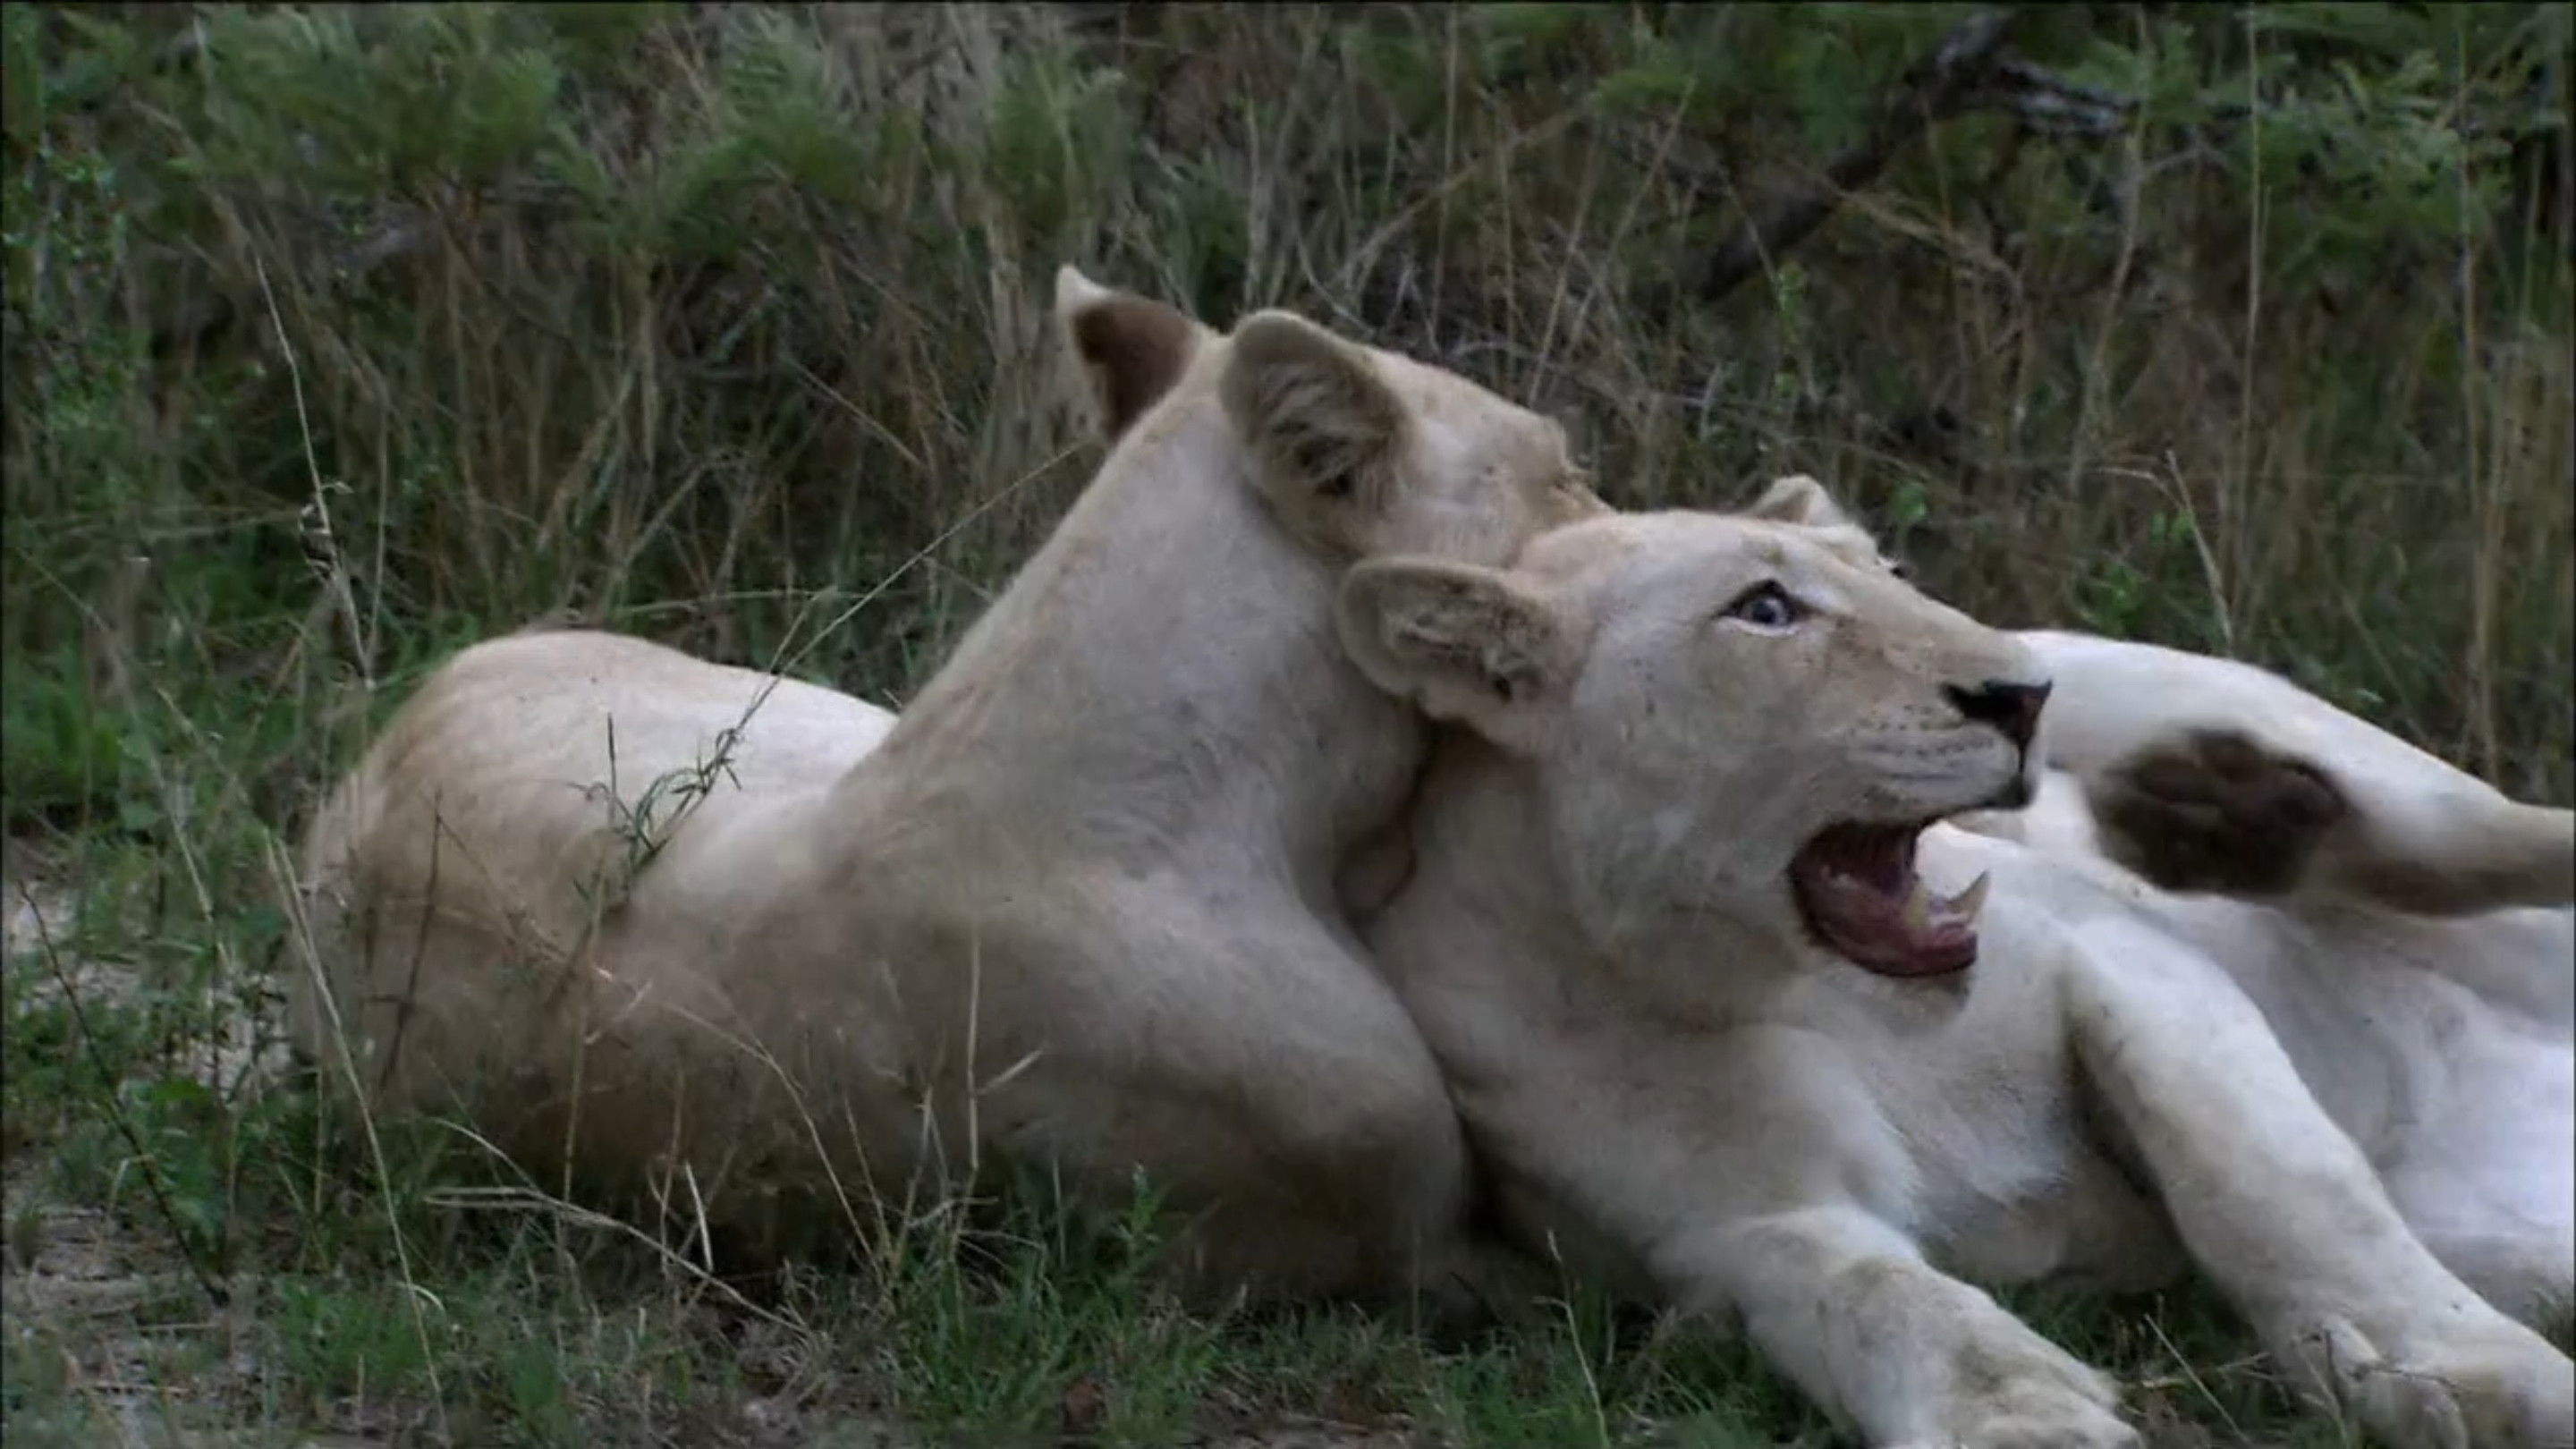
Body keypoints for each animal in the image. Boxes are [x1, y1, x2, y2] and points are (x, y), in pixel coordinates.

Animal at [1336, 491, 2574, 1446]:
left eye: (1892, 572)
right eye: (1766, 609)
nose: (2020, 697)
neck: (1808, 995)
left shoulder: (2130, 963)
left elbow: (2281, 1191)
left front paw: (2472, 1377)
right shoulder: (1722, 1227)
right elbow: (1871, 1294)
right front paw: (2022, 1416)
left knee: (2499, 833)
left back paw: (2230, 817)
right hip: (2519, 1242)